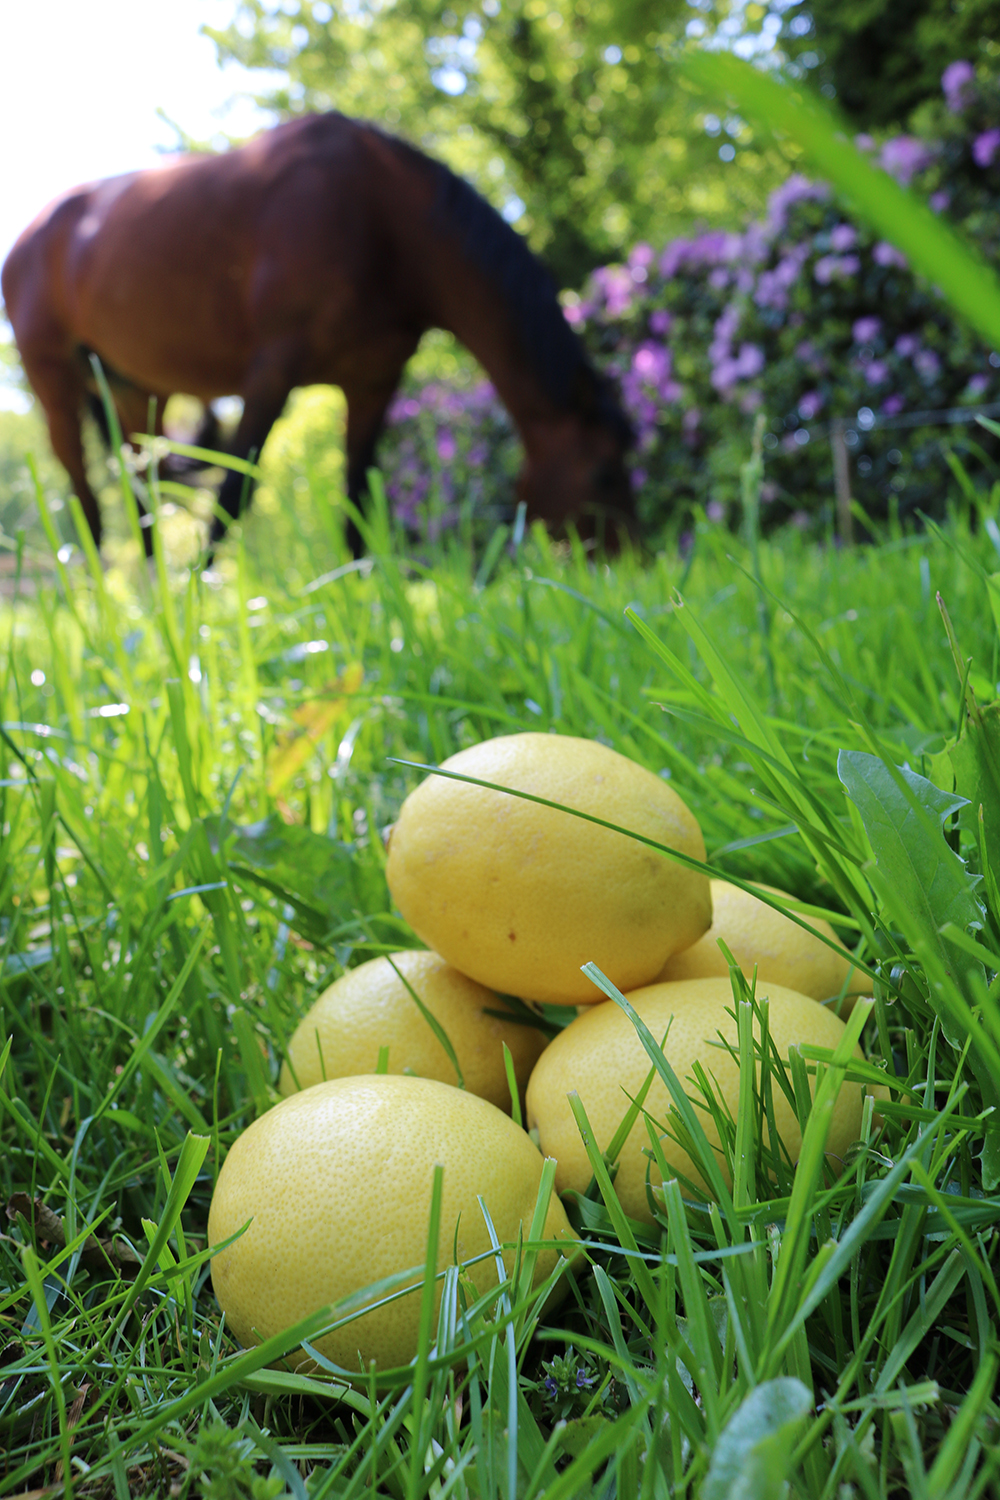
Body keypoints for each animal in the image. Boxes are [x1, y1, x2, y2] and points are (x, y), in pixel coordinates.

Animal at [1, 111, 632, 558]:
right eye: (604, 471)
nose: (624, 560)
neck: (383, 220)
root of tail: (33, 233)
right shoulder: (271, 373)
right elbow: (233, 496)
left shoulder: (374, 383)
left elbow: (358, 502)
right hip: (53, 381)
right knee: (86, 499)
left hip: (133, 390)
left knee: (141, 491)